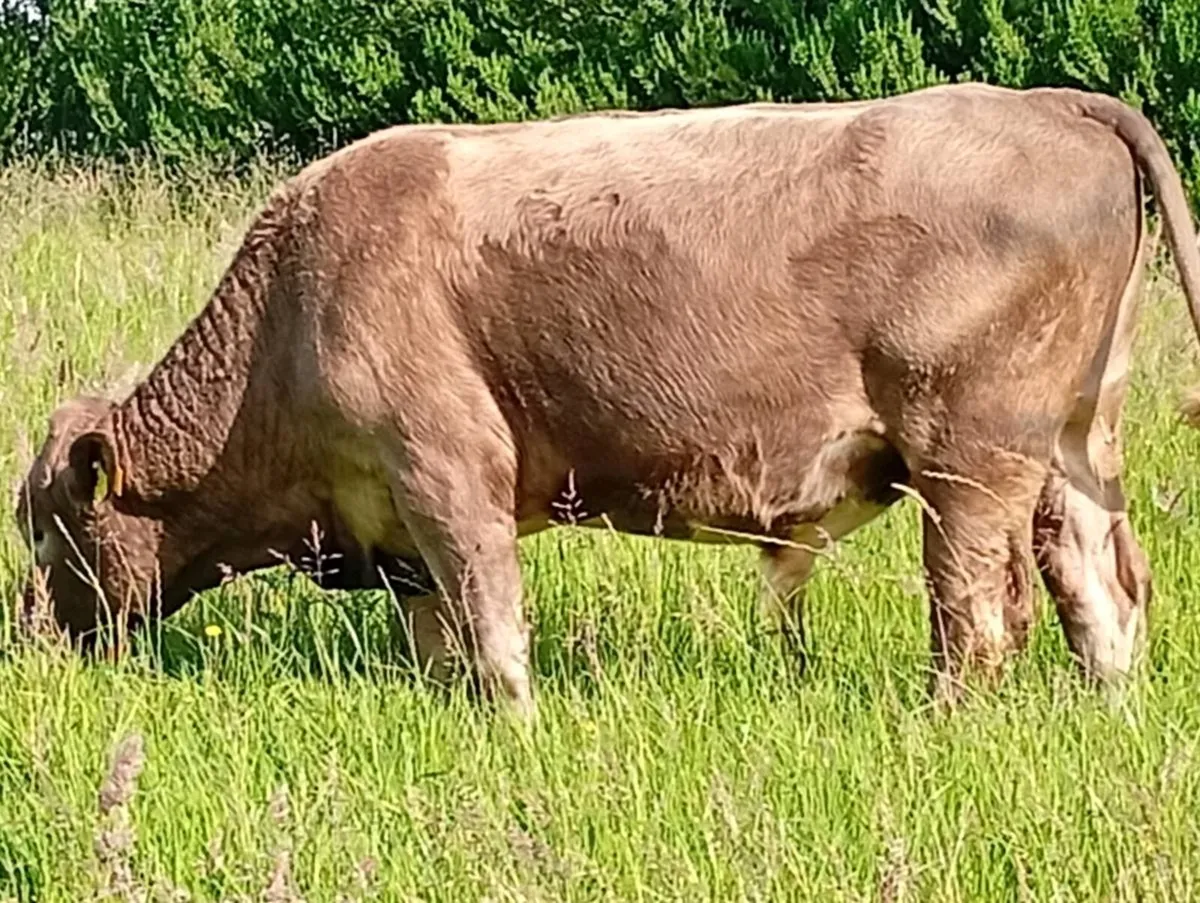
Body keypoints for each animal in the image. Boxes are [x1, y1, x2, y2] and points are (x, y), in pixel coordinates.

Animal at [15, 82, 1200, 718]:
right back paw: (1107, 710)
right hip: (1074, 444)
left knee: (979, 616)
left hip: (969, 460)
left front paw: (516, 729)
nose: (26, 639)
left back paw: (939, 723)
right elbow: (438, 635)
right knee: (1098, 587)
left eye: (46, 529)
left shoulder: (448, 469)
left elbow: (492, 621)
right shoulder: (395, 525)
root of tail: (1048, 100)